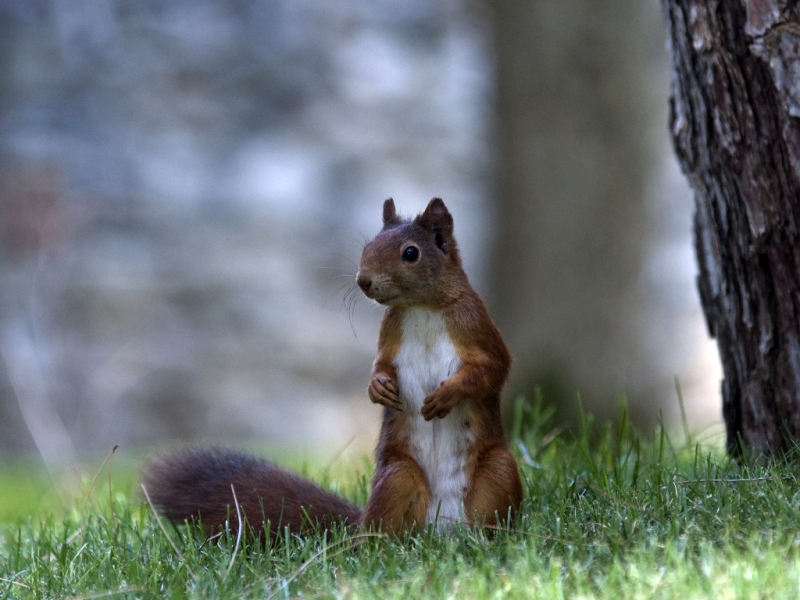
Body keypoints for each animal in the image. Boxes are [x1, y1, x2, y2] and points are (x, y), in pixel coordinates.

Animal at [141, 198, 522, 538]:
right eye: (368, 245)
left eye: (411, 253)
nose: (363, 280)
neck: (421, 307)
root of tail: (443, 532)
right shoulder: (390, 334)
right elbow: (381, 364)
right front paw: (377, 387)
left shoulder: (476, 325)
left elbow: (492, 369)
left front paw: (446, 395)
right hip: (397, 478)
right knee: (380, 534)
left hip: (498, 472)